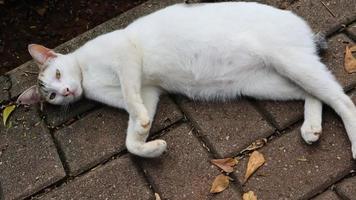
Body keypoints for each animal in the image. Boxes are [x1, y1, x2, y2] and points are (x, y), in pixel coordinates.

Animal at [17, 1, 356, 158]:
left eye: (58, 74)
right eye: (51, 95)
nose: (67, 90)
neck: (88, 77)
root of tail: (304, 27)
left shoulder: (127, 55)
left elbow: (131, 99)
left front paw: (142, 123)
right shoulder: (148, 91)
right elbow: (130, 141)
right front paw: (151, 144)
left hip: (290, 62)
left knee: (342, 100)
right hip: (267, 83)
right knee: (315, 95)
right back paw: (311, 128)